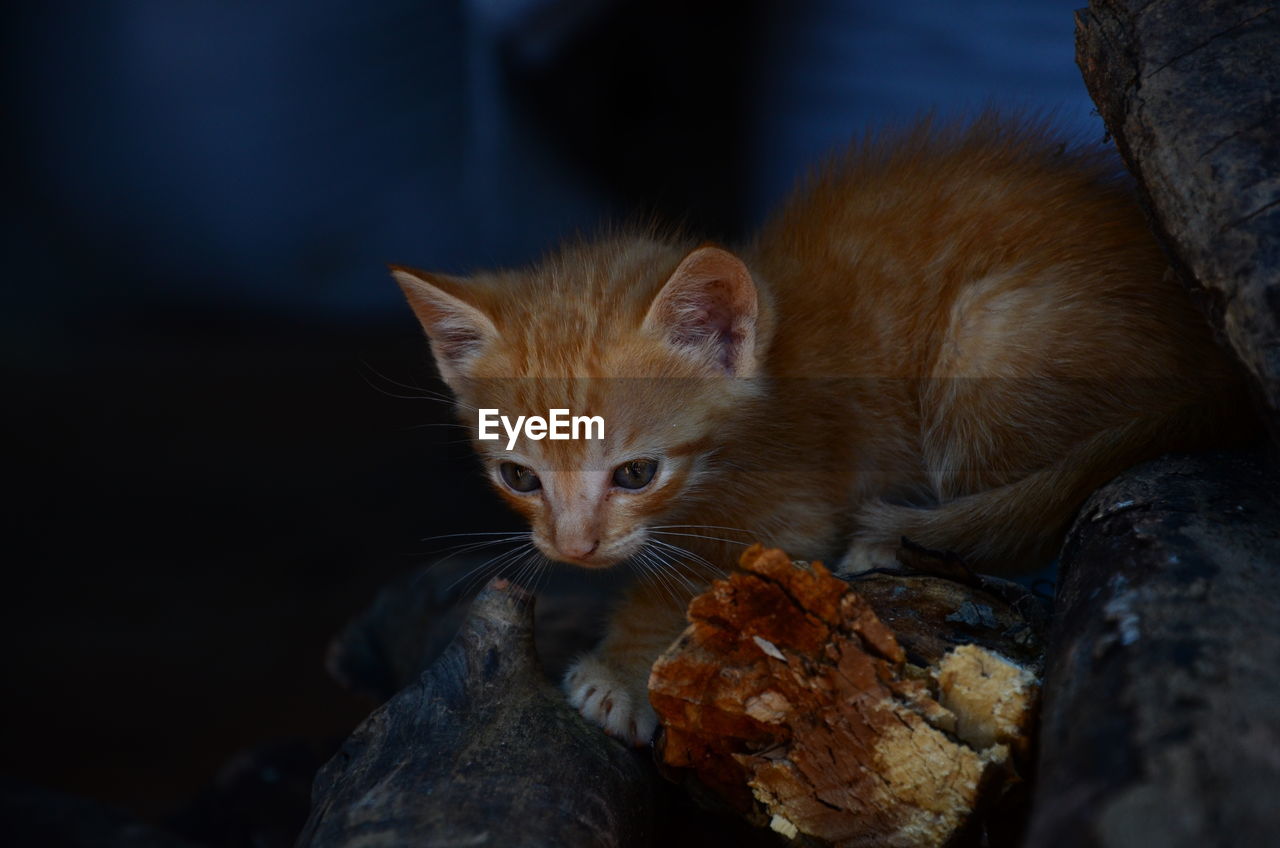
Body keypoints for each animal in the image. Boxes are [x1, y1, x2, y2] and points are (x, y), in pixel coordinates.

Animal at [391, 117, 1249, 742]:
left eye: (636, 473)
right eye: (519, 477)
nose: (573, 549)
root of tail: (1214, 367)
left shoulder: (796, 507)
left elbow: (699, 575)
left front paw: (619, 671)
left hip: (985, 337)